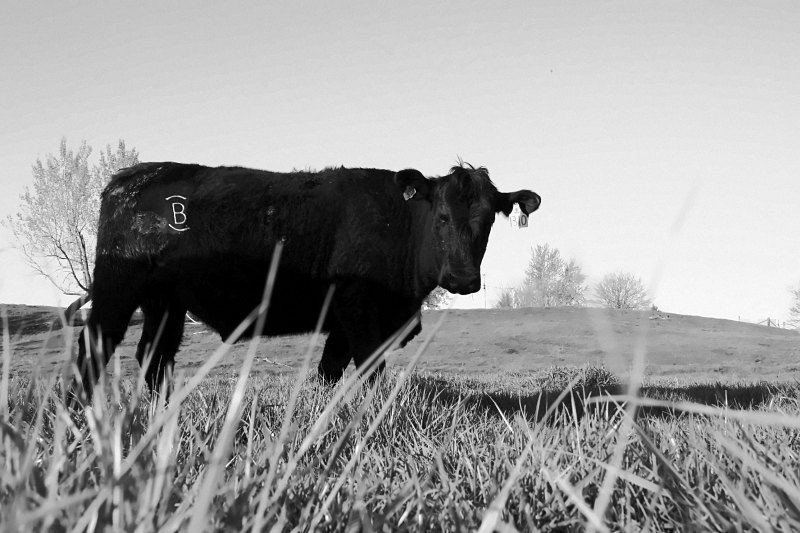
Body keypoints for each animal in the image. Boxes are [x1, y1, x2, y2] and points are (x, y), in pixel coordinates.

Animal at [70, 162, 540, 402]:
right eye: (441, 216)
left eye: (488, 221)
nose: (463, 279)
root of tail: (127, 179)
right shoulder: (360, 309)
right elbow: (369, 370)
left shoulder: (344, 322)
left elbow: (329, 370)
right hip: (116, 291)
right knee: (94, 347)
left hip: (166, 303)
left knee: (153, 356)